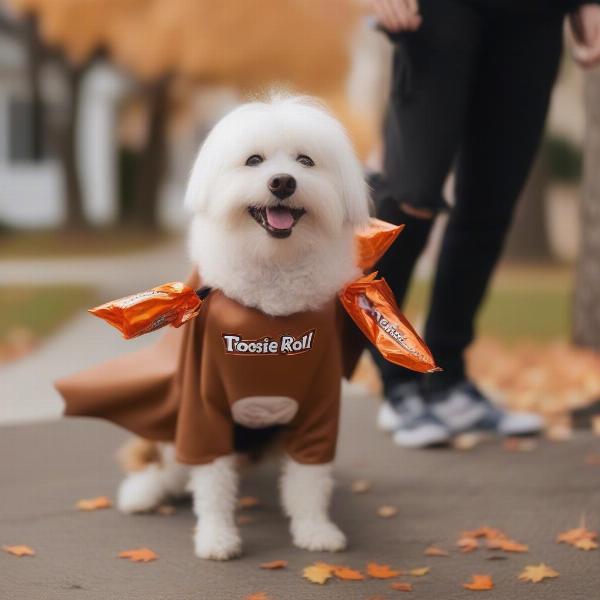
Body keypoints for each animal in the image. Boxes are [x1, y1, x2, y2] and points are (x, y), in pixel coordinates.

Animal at [116, 94, 370, 556]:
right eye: (254, 160)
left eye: (306, 160)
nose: (283, 182)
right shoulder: (202, 405)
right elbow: (212, 483)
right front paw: (217, 536)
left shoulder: (319, 408)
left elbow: (308, 481)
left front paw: (315, 530)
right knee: (170, 466)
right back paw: (142, 492)